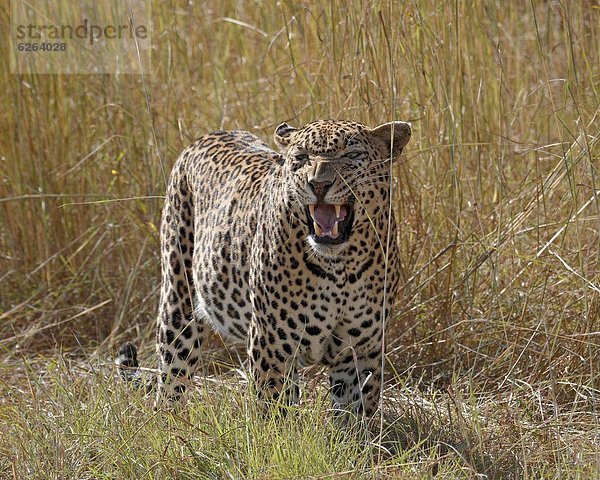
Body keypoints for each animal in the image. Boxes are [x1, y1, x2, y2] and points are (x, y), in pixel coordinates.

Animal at [116, 119, 412, 416]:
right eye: (301, 158)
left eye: (351, 155)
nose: (318, 184)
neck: (339, 265)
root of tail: (212, 134)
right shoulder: (270, 343)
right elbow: (275, 409)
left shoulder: (361, 350)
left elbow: (355, 413)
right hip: (178, 299)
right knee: (172, 376)